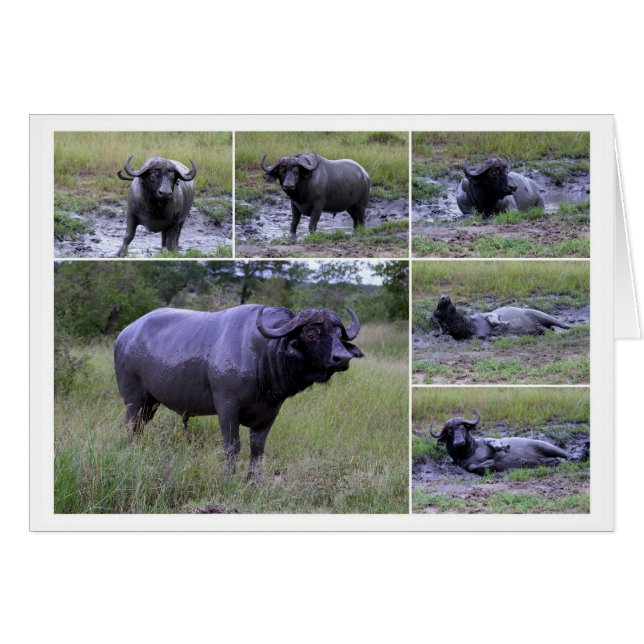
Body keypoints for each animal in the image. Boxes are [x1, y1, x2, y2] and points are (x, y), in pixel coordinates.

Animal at [114, 304, 363, 475]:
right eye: (312, 333)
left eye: (338, 335)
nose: (343, 358)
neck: (262, 354)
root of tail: (125, 334)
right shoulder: (227, 407)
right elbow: (232, 447)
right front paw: (229, 477)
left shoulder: (269, 414)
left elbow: (257, 449)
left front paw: (254, 481)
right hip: (133, 399)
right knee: (131, 428)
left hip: (151, 402)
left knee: (140, 427)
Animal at [429, 410, 568, 474]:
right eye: (450, 432)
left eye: (462, 428)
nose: (459, 442)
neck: (470, 451)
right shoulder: (463, 465)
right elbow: (471, 466)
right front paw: (489, 463)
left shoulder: (489, 440)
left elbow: (495, 444)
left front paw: (502, 449)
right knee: (554, 461)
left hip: (547, 447)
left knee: (566, 455)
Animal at [432, 294, 571, 340]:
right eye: (437, 311)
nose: (443, 296)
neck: (471, 325)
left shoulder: (487, 314)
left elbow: (493, 317)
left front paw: (503, 323)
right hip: (541, 326)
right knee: (546, 330)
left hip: (540, 314)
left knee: (560, 324)